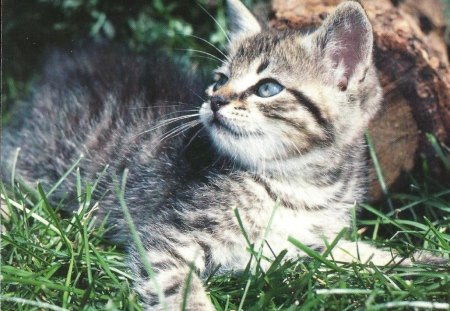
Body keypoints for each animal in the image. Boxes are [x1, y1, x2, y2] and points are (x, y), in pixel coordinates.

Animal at [1, 0, 414, 310]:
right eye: (220, 80)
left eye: (267, 88)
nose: (214, 100)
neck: (297, 184)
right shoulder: (165, 237)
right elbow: (179, 285)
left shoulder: (312, 240)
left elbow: (348, 253)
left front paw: (408, 262)